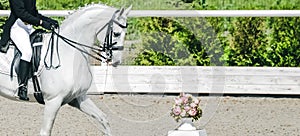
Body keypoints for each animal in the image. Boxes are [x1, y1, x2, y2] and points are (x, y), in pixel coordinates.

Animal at [0, 3, 131, 135]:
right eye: (116, 34)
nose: (117, 61)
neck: (68, 52)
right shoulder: (53, 101)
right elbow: (45, 131)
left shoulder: (78, 97)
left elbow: (104, 119)